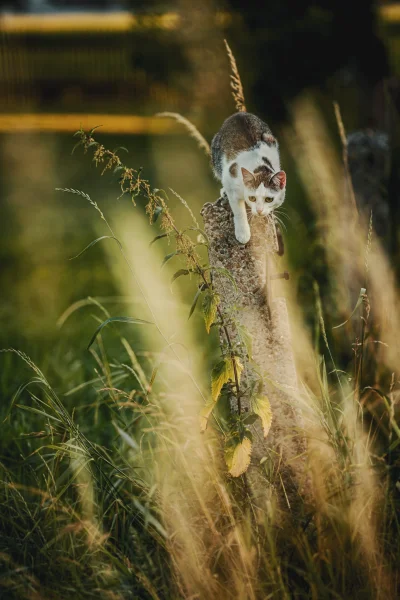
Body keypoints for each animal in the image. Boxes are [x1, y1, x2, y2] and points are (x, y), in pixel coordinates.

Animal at [211, 112, 286, 244]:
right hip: (216, 156)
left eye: (269, 199)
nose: (259, 210)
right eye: (252, 198)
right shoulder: (229, 177)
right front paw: (243, 233)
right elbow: (238, 210)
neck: (260, 167)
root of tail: (238, 114)